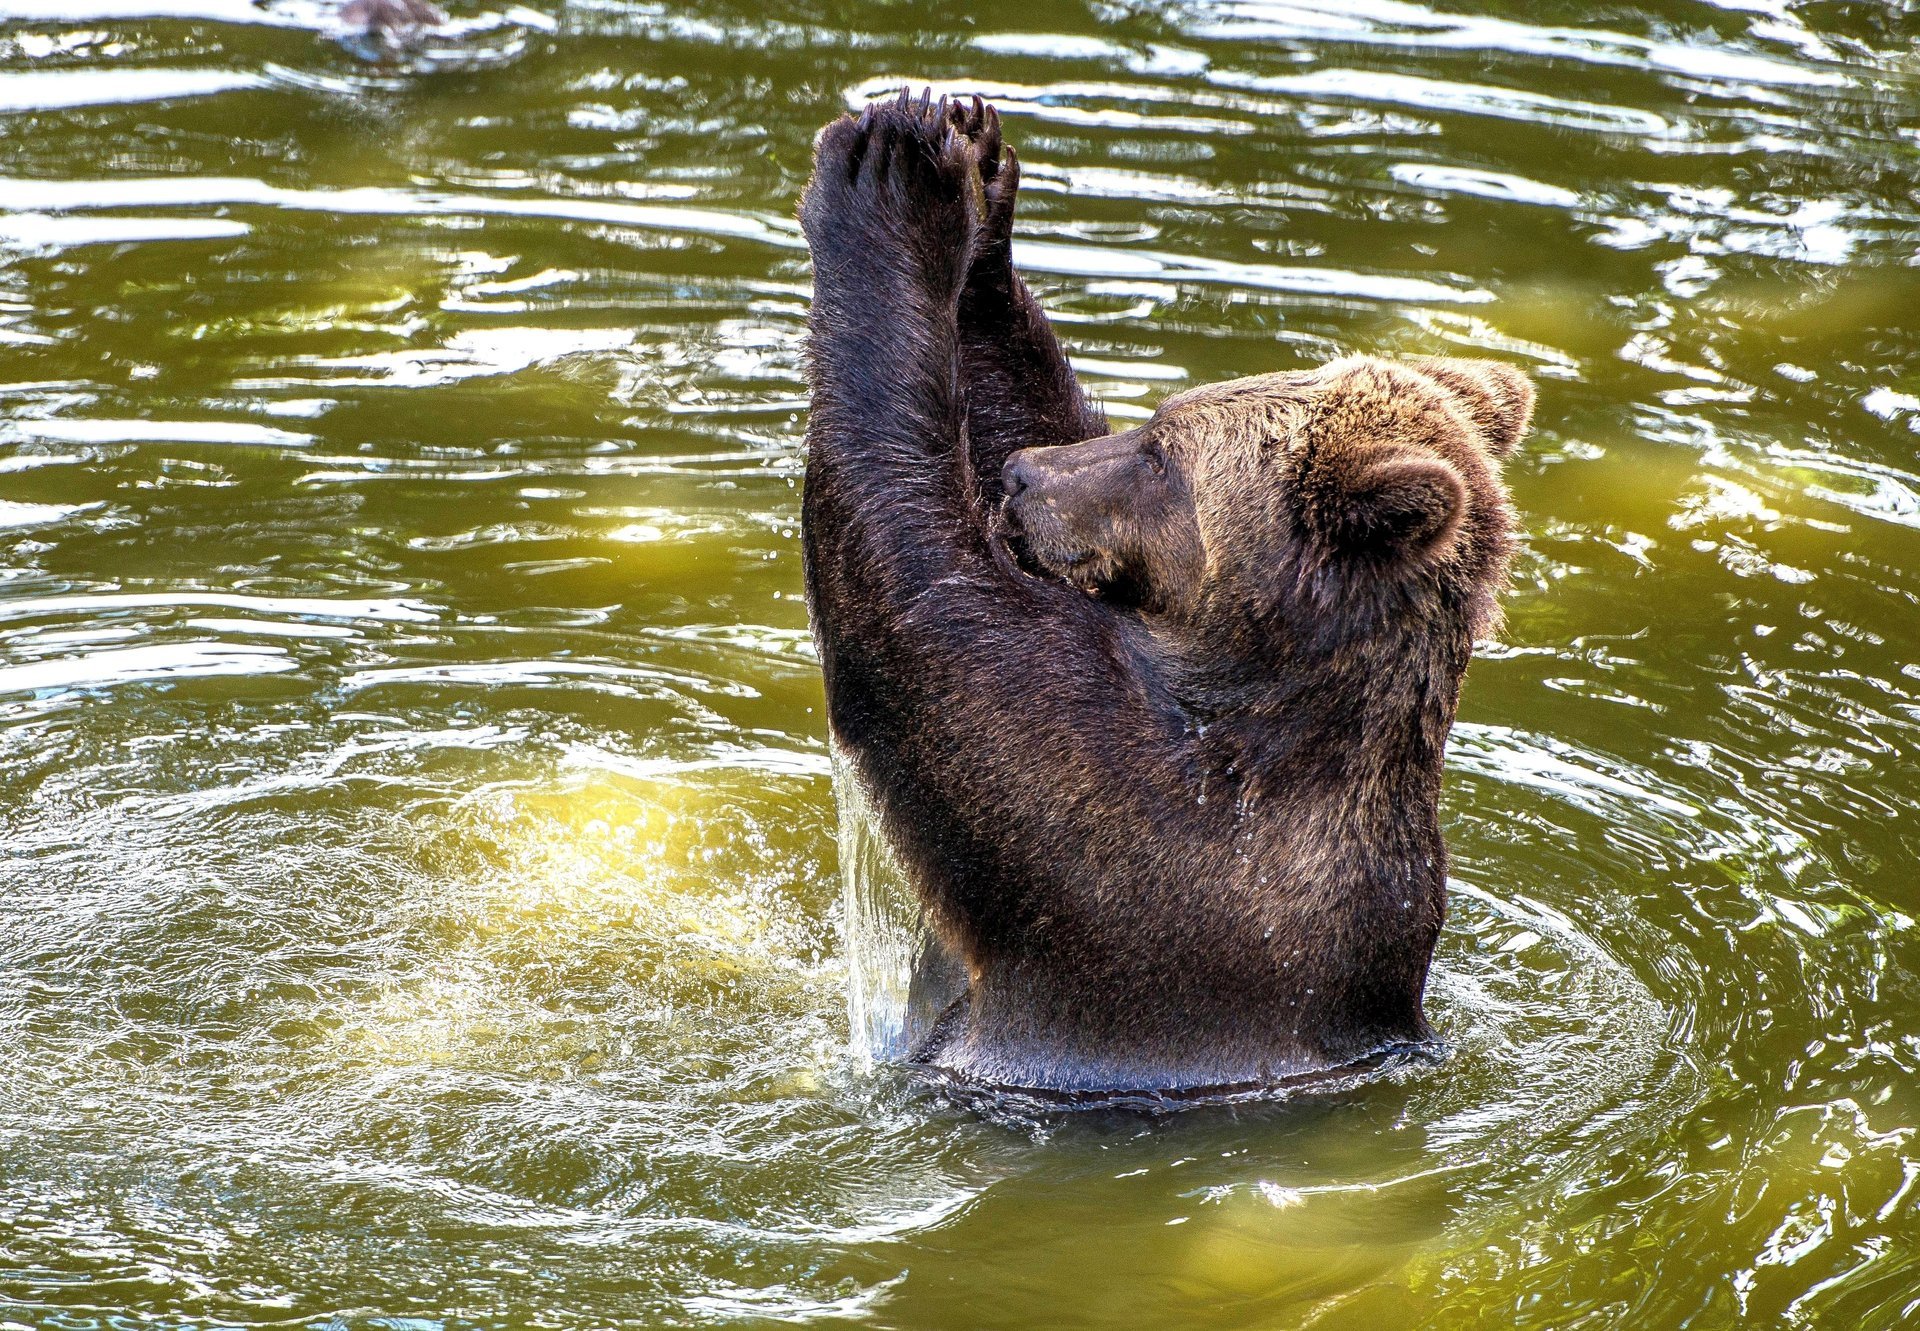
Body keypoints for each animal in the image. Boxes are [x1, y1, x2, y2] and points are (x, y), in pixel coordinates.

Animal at [802, 88, 1536, 1098]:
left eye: (1162, 457)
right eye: (1150, 421)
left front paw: (893, 181)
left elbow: (920, 602)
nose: (1024, 478)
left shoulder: (1126, 835)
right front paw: (978, 178)